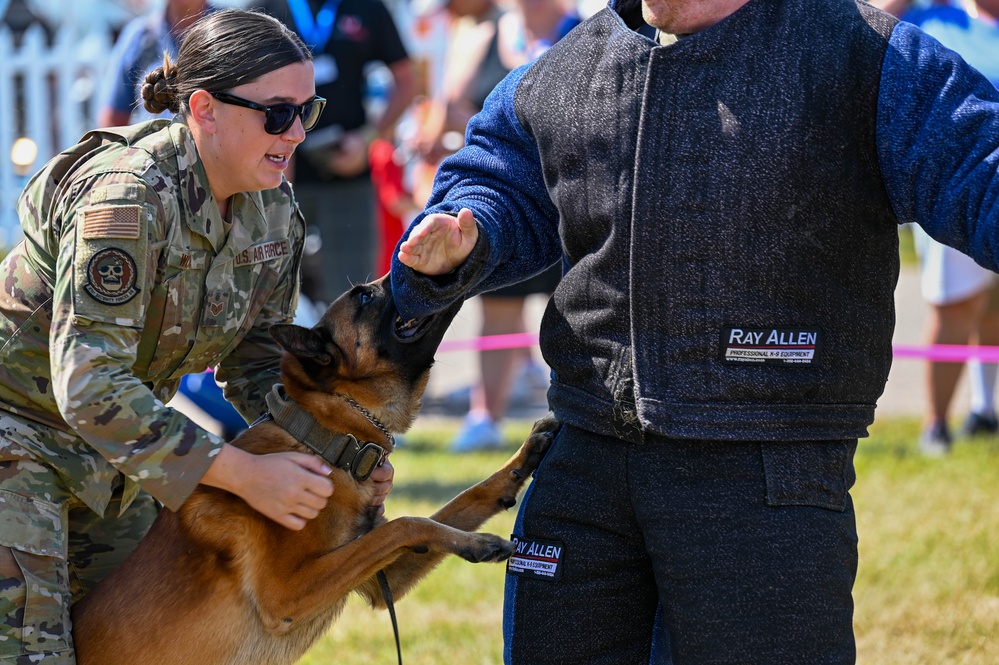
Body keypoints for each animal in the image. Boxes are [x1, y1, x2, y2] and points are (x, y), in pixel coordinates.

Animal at [72, 274, 556, 664]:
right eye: (363, 296)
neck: (327, 440)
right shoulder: (287, 593)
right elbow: (404, 523)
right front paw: (476, 543)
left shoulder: (378, 582)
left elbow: (456, 502)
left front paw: (522, 461)